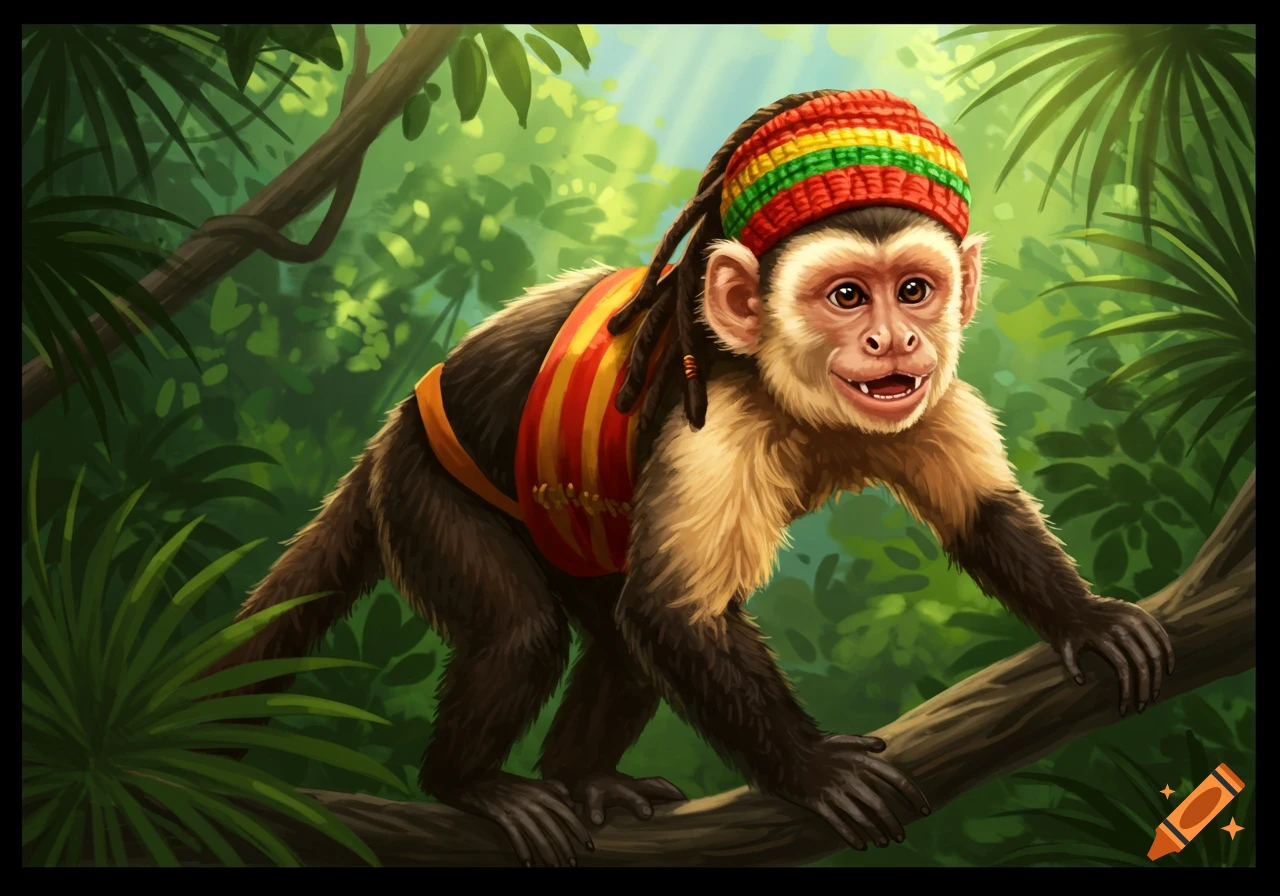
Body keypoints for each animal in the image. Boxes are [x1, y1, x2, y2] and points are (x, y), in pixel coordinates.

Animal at [201, 89, 1175, 868]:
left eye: (915, 290)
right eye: (848, 296)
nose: (893, 341)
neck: (798, 400)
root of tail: (393, 430)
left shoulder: (928, 396)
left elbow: (984, 517)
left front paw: (1085, 620)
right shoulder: (717, 426)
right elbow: (678, 615)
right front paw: (811, 770)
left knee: (619, 644)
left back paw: (585, 780)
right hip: (427, 492)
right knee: (523, 633)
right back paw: (470, 783)